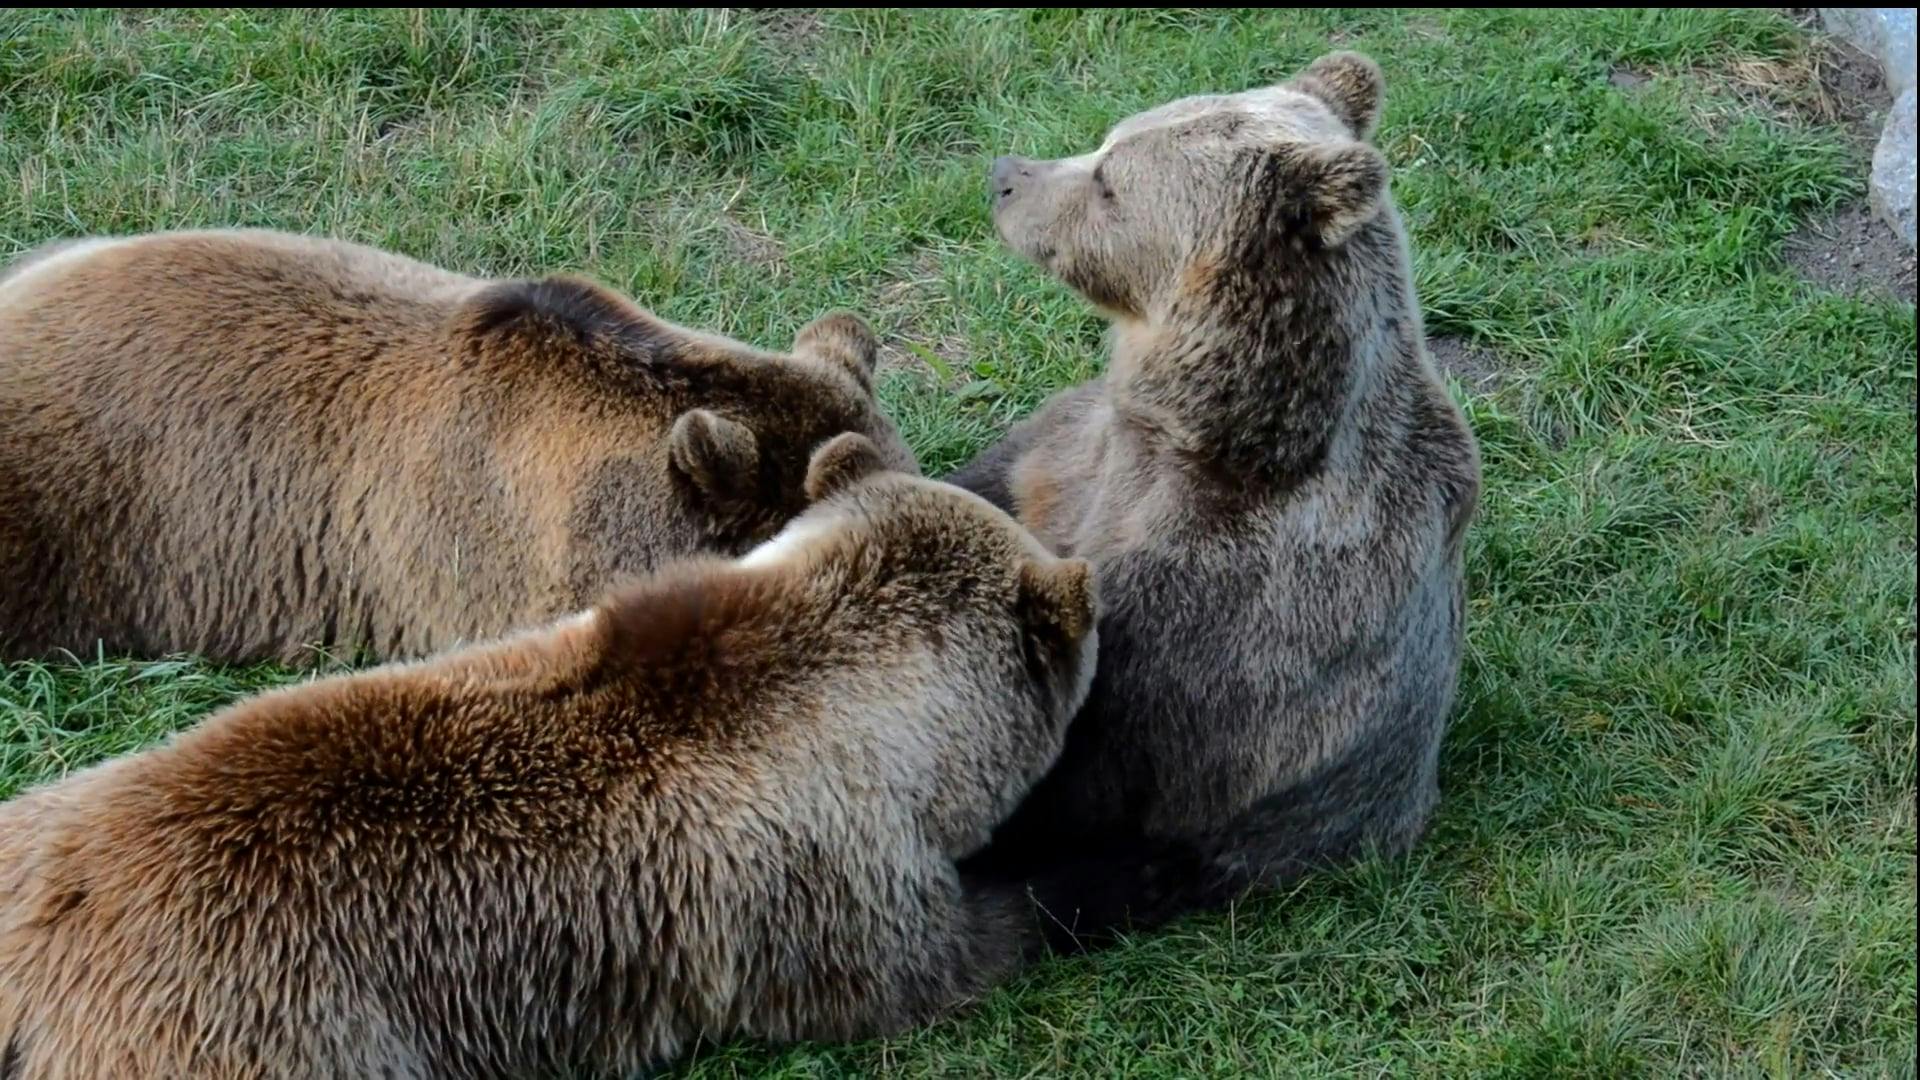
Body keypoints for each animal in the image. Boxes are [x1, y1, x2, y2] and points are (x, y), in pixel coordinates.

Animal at [948, 52, 1483, 946]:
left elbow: (1078, 755)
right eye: (1109, 140)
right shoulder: (1078, 451)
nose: (1006, 176)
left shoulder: (1221, 602)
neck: (1209, 435)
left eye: (1111, 182)